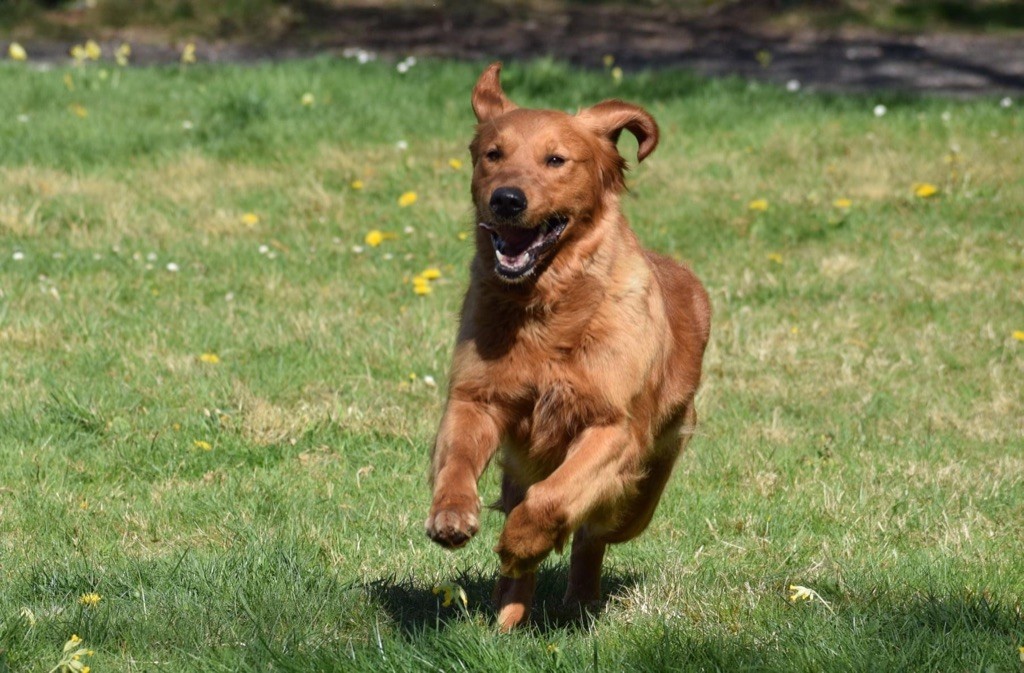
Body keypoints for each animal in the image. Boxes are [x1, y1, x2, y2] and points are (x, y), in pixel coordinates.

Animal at [423, 62, 712, 631]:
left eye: (556, 159)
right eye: (493, 154)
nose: (507, 199)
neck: (545, 308)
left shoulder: (612, 428)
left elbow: (553, 501)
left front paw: (519, 542)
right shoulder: (477, 397)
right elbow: (458, 461)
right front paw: (452, 514)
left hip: (639, 496)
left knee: (593, 534)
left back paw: (575, 600)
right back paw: (507, 620)